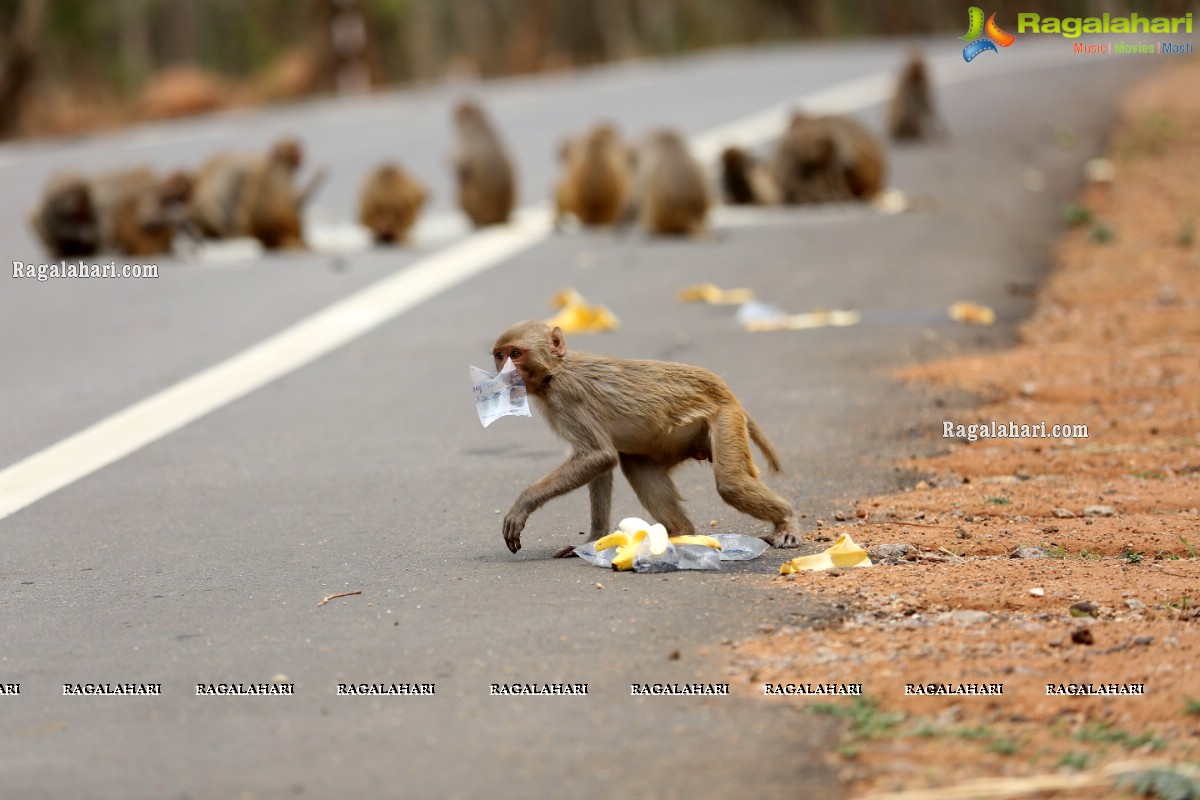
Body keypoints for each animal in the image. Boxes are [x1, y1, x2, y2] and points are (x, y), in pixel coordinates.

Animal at [487, 319, 796, 556]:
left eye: (515, 353)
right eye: (500, 355)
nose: (503, 371)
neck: (554, 372)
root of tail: (727, 392)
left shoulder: (566, 397)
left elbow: (600, 455)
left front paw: (523, 504)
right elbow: (601, 464)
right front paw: (593, 539)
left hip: (724, 418)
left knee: (731, 485)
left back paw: (787, 520)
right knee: (636, 464)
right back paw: (679, 534)